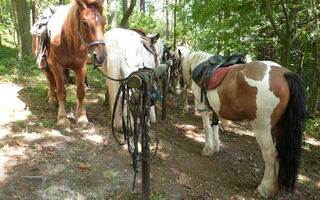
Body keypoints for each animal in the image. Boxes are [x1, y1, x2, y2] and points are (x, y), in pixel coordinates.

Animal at [30, 0, 105, 128]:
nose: (100, 56)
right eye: (84, 23)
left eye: (103, 22)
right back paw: (52, 99)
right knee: (50, 81)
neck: (69, 41)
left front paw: (82, 117)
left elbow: (80, 92)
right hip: (46, 66)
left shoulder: (81, 67)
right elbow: (62, 92)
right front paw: (62, 119)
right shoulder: (57, 66)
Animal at [174, 49, 306, 198]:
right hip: (279, 127)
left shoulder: (203, 106)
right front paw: (216, 147)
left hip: (262, 128)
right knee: (280, 152)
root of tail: (284, 74)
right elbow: (215, 127)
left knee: (270, 153)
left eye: (175, 59)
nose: (178, 79)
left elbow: (207, 128)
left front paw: (208, 149)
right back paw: (274, 187)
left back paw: (265, 188)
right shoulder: (215, 108)